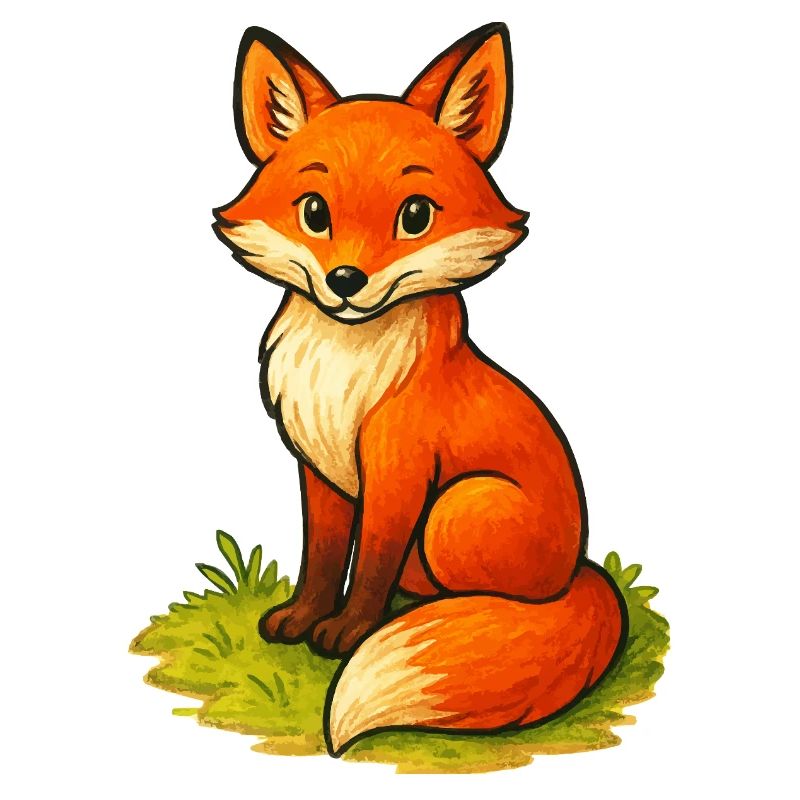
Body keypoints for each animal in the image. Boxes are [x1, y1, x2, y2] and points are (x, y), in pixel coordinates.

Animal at [213, 22, 627, 758]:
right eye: (314, 212)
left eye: (414, 216)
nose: (346, 281)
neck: (344, 370)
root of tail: (580, 569)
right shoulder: (318, 467)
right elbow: (324, 556)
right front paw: (303, 618)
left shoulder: (399, 468)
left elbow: (371, 562)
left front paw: (348, 634)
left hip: (457, 510)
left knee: (486, 597)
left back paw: (450, 614)